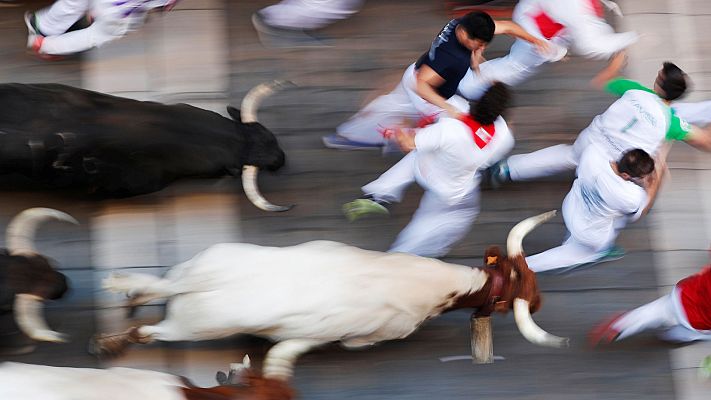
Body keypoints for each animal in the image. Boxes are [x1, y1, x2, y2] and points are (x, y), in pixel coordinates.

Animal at [93, 211, 568, 380]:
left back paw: (130, 296)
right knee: (148, 333)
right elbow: (291, 352)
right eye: (521, 287)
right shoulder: (347, 335)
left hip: (190, 272)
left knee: (154, 290)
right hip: (188, 328)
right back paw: (110, 343)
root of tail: (197, 284)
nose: (541, 301)